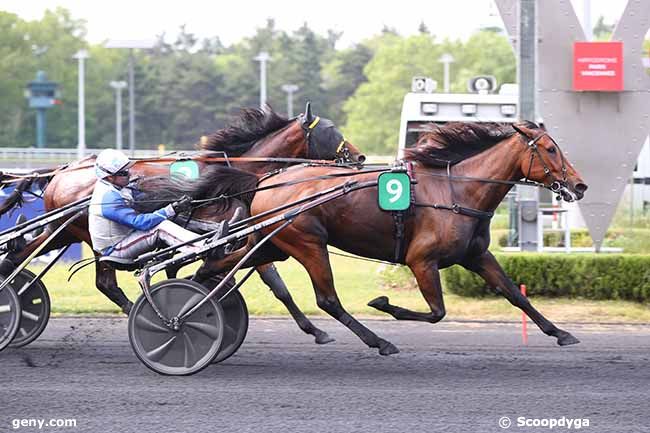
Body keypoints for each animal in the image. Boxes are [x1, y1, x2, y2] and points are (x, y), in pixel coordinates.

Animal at [0, 104, 362, 344]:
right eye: (331, 131)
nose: (358, 157)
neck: (242, 175)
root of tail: (63, 171)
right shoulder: (247, 233)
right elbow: (276, 285)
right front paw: (316, 330)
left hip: (67, 232)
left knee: (28, 257)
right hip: (85, 235)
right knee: (101, 281)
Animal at [192, 121, 588, 354]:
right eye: (551, 149)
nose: (579, 185)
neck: (456, 191)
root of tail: (266, 180)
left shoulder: (475, 256)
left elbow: (514, 294)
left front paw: (560, 333)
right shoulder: (422, 260)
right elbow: (437, 313)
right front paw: (384, 304)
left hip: (274, 243)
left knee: (217, 264)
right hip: (308, 243)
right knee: (328, 300)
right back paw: (378, 341)